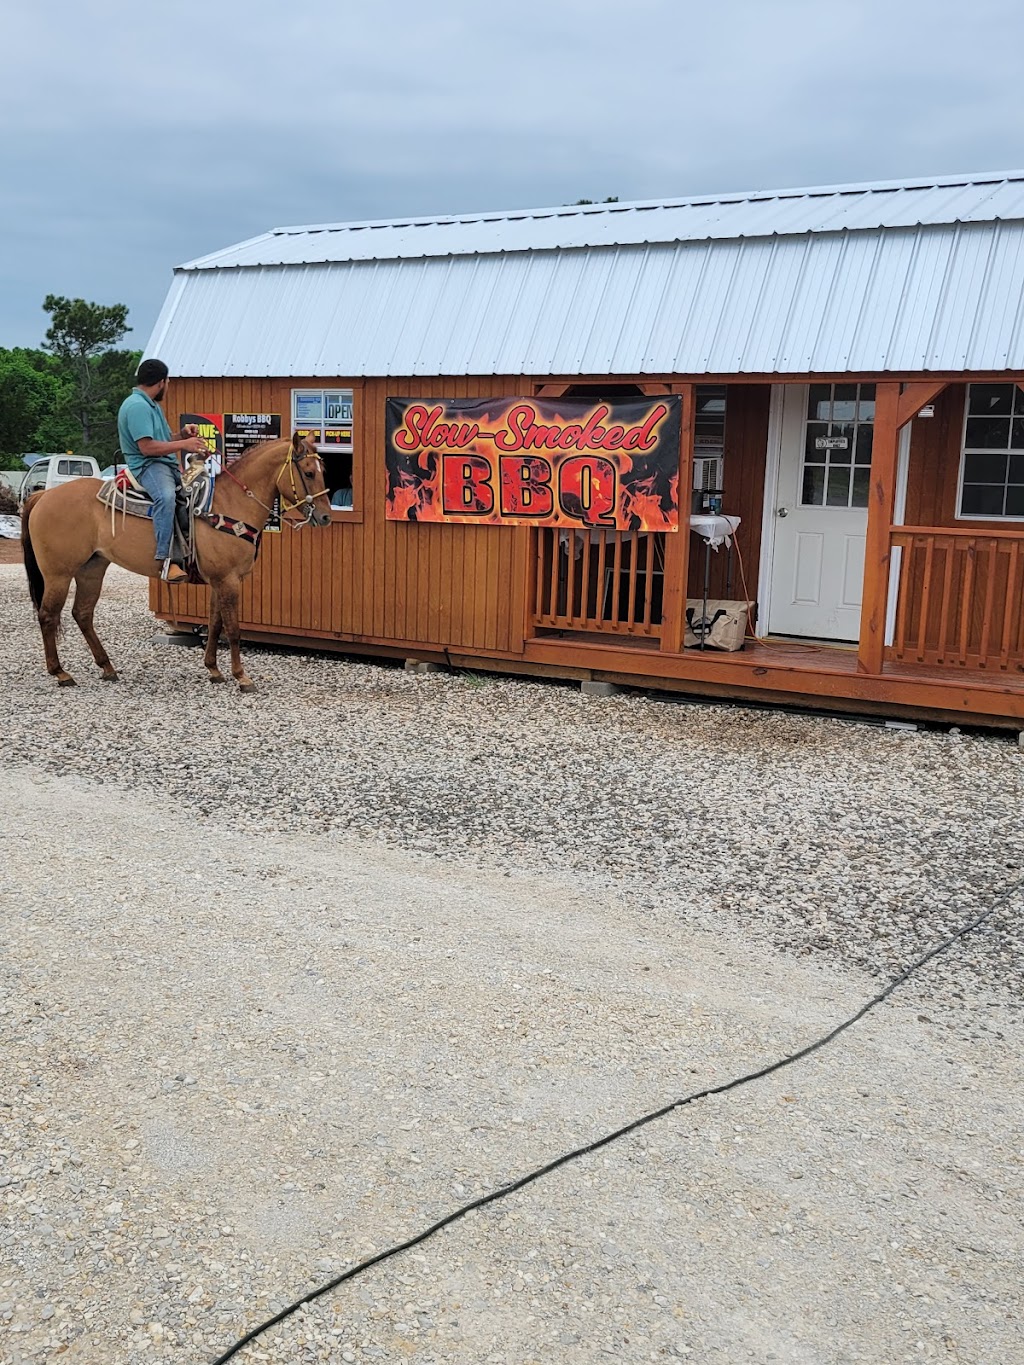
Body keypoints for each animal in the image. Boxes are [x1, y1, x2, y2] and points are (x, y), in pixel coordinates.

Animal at [20, 434, 330, 693]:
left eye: (322, 471)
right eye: (309, 472)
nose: (326, 517)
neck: (230, 504)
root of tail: (43, 495)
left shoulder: (219, 581)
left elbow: (214, 624)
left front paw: (214, 670)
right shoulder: (228, 580)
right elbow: (233, 629)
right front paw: (241, 677)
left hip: (92, 568)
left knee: (82, 614)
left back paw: (107, 667)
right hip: (58, 573)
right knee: (48, 615)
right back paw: (61, 673)